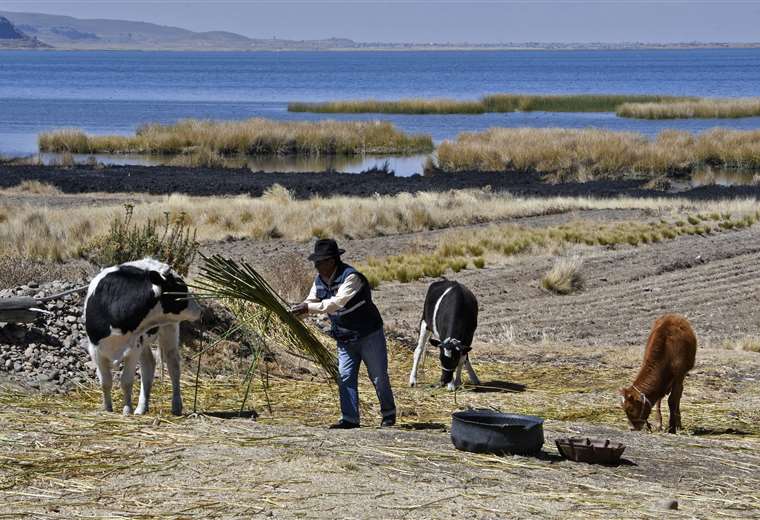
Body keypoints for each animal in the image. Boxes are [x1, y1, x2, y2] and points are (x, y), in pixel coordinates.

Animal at [84, 258, 202, 416]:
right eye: (181, 289)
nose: (199, 310)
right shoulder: (95, 349)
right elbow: (105, 382)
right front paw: (108, 408)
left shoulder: (133, 349)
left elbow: (126, 381)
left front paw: (127, 409)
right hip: (144, 340)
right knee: (149, 364)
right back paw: (141, 407)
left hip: (169, 327)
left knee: (173, 364)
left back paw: (176, 406)